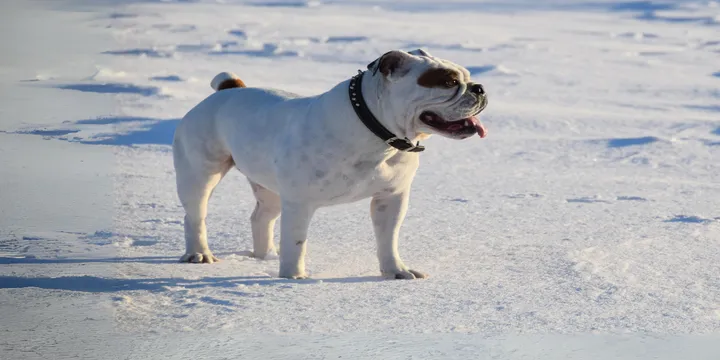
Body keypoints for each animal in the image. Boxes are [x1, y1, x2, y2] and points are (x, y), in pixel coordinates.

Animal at [174, 48, 486, 278]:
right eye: (447, 81)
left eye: (467, 77)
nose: (480, 88)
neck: (376, 133)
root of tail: (227, 90)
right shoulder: (300, 203)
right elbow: (297, 240)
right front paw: (293, 278)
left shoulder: (391, 198)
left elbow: (388, 238)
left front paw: (395, 271)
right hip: (200, 174)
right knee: (195, 215)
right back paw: (199, 254)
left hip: (270, 189)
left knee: (261, 217)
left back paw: (265, 256)